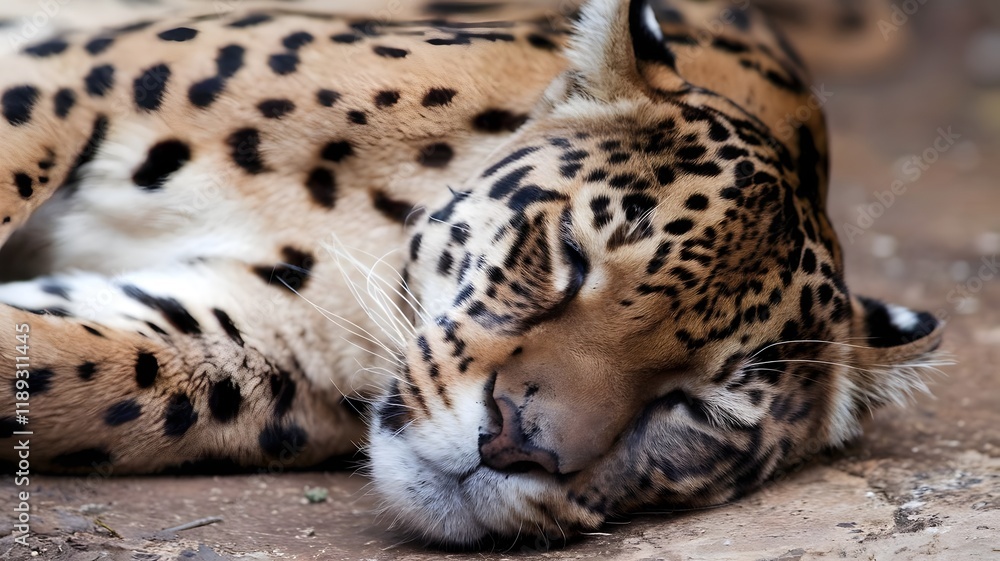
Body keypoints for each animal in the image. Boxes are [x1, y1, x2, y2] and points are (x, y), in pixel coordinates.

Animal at [0, 0, 943, 548]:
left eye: (697, 411)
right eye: (570, 256)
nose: (514, 443)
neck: (368, 231)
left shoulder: (231, 339)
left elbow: (75, 375)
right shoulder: (76, 71)